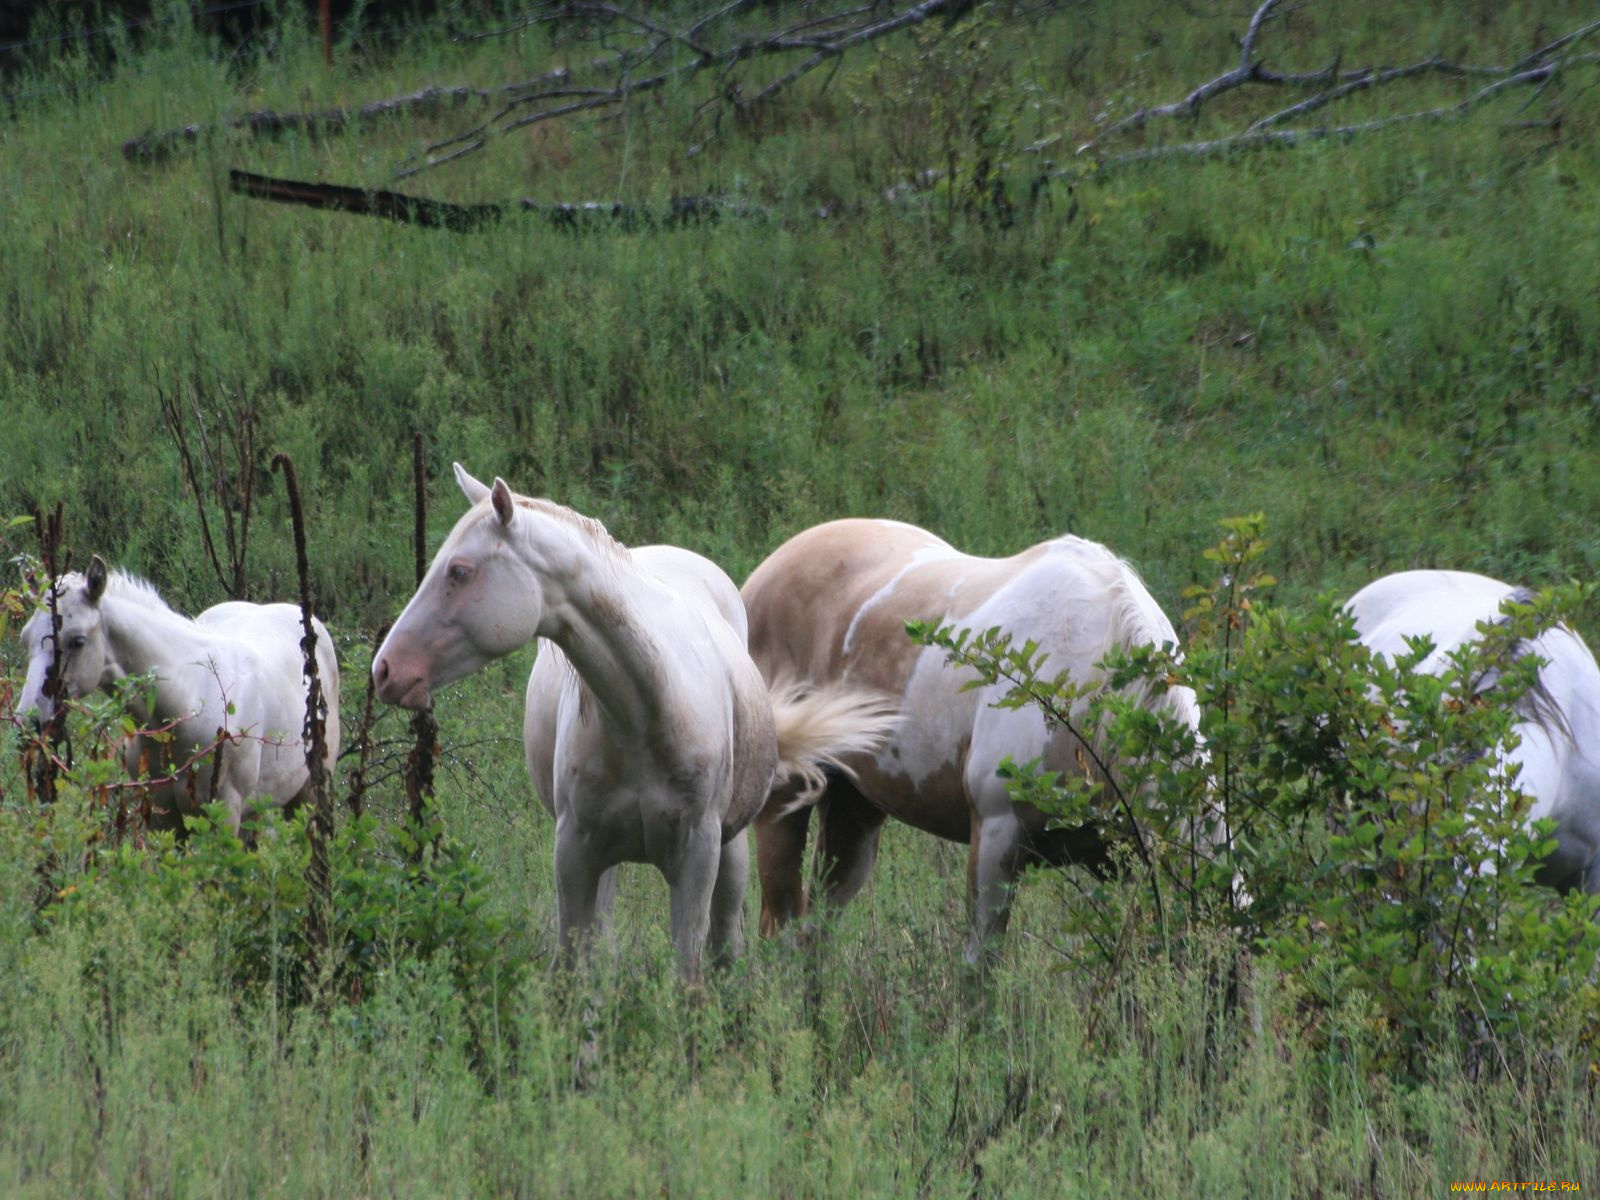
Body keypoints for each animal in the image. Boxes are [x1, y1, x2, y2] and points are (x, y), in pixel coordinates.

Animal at [14, 556, 340, 832]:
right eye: (24, 638)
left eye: (78, 641)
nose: (29, 724)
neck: (189, 701)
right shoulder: (162, 815)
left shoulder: (225, 814)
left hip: (310, 792)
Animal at [371, 464, 902, 979]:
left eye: (459, 571)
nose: (385, 670)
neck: (648, 716)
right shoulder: (575, 850)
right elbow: (576, 968)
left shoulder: (697, 856)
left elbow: (689, 972)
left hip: (731, 848)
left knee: (726, 943)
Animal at [736, 518, 1203, 966]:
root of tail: (755, 582)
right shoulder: (997, 836)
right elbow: (980, 970)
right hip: (784, 805)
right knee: (781, 932)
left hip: (854, 811)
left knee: (814, 933)